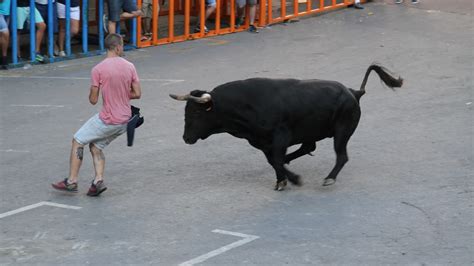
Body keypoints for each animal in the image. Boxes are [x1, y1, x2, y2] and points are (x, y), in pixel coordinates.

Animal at [168, 63, 402, 190]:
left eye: (196, 112)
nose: (186, 138)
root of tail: (353, 92)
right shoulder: (262, 142)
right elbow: (274, 161)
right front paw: (282, 180)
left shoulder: (280, 137)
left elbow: (277, 160)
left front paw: (294, 179)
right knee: (308, 147)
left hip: (342, 132)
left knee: (341, 156)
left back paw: (329, 178)